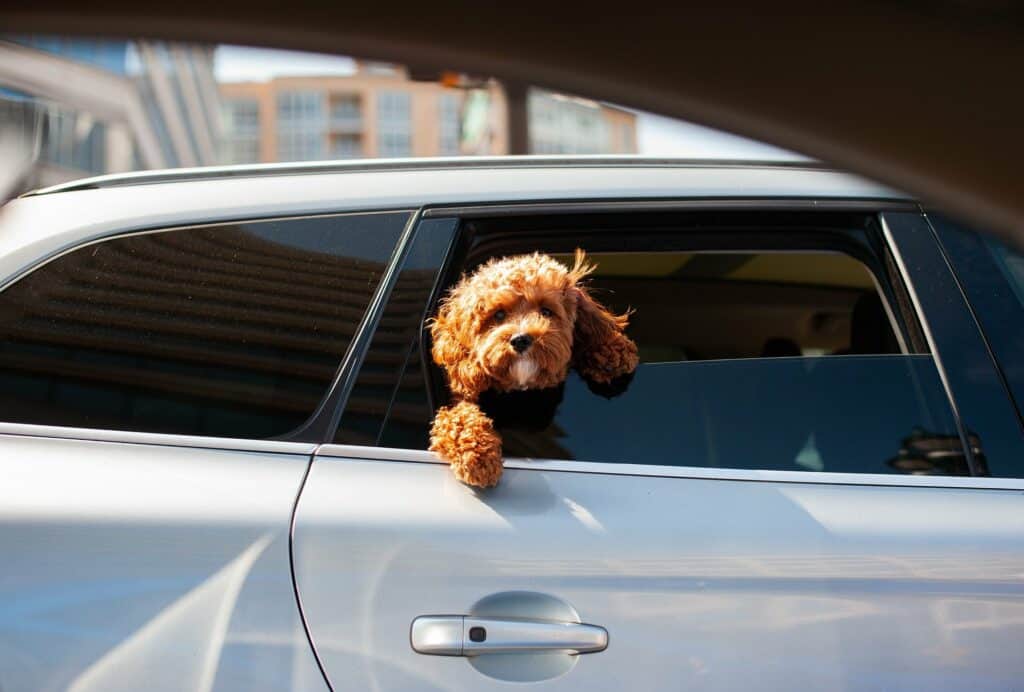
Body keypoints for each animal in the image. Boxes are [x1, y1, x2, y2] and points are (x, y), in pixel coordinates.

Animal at [428, 249, 634, 487]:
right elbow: (458, 419)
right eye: (499, 314)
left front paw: (612, 350)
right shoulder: (459, 400)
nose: (520, 340)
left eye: (546, 311)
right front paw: (478, 457)